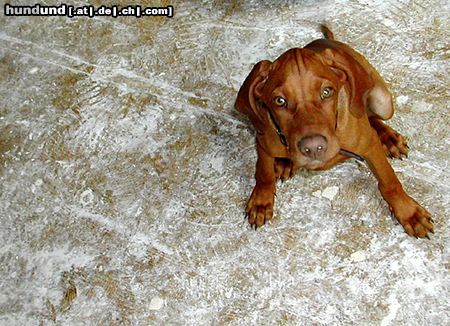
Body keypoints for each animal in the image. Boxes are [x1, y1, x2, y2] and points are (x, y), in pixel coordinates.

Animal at [234, 25, 434, 238]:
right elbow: (263, 173)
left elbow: (389, 182)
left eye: (326, 92)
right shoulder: (263, 141)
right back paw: (285, 162)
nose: (313, 148)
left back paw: (389, 138)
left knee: (370, 113)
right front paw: (261, 202)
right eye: (280, 101)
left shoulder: (371, 148)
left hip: (383, 101)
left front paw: (409, 213)